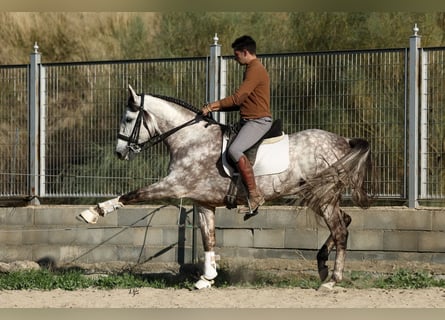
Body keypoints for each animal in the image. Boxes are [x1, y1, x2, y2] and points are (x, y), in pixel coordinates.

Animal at [79, 85, 372, 290]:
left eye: (129, 119)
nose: (119, 153)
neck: (189, 139)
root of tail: (343, 141)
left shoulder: (174, 185)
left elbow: (133, 194)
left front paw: (92, 212)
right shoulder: (203, 202)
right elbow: (208, 238)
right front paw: (207, 278)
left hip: (323, 197)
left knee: (340, 230)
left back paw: (332, 280)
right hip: (322, 196)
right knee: (345, 221)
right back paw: (322, 264)